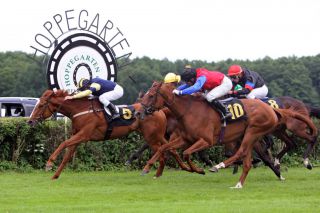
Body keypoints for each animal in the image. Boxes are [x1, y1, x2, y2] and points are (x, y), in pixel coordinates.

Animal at [27, 89, 190, 179]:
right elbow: (67, 156)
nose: (30, 121)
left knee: (163, 152)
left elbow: (64, 143)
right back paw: (181, 169)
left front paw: (49, 163)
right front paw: (55, 176)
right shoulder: (78, 137)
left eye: (41, 105)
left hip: (152, 137)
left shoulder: (84, 135)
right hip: (156, 136)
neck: (80, 110)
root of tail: (159, 110)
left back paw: (154, 170)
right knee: (170, 149)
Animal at [139, 81, 316, 188]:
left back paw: (219, 166)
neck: (189, 110)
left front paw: (199, 170)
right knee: (248, 159)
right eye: (145, 94)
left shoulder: (206, 140)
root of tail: (271, 109)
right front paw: (149, 169)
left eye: (151, 95)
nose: (139, 112)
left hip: (255, 131)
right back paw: (239, 183)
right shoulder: (185, 139)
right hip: (254, 135)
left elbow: (187, 153)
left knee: (242, 152)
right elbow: (165, 148)